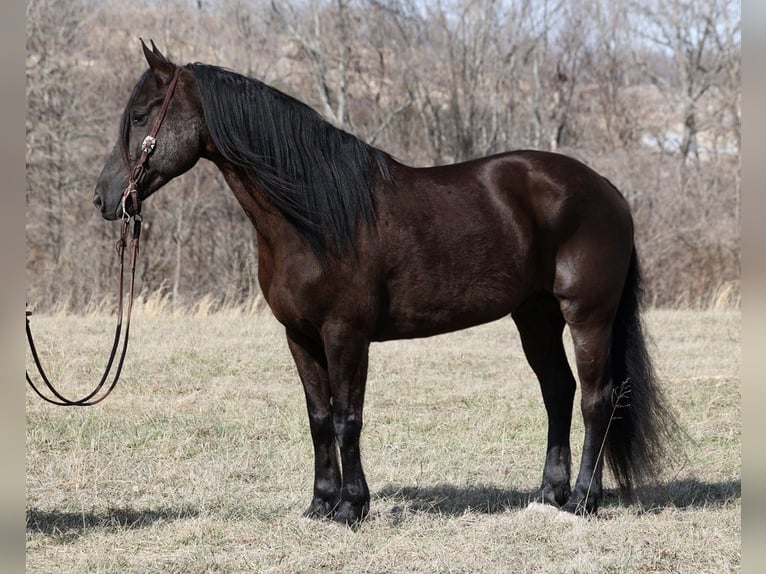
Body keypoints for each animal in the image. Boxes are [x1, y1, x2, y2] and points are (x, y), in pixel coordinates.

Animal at [94, 41, 680, 528]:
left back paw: (583, 500)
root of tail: (607, 191)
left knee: (597, 399)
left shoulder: (345, 334)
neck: (313, 216)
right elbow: (318, 418)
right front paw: (320, 505)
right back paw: (547, 495)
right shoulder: (299, 336)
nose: (104, 199)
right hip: (534, 315)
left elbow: (347, 418)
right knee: (558, 391)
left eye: (141, 116)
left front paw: (352, 507)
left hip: (587, 315)